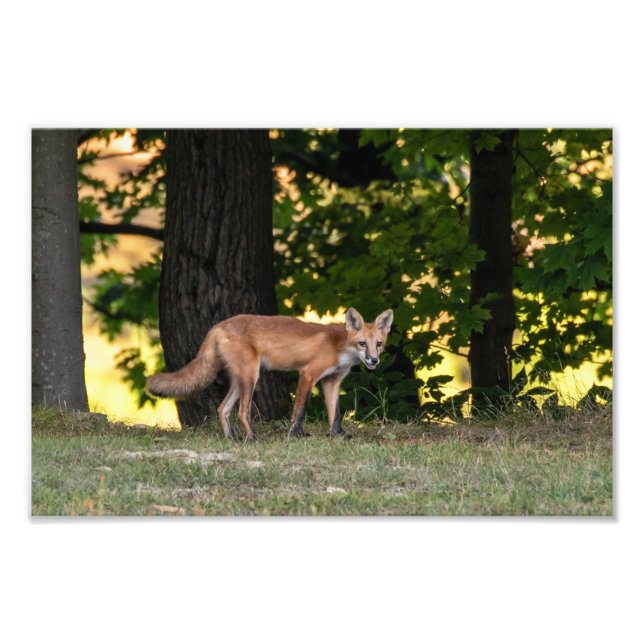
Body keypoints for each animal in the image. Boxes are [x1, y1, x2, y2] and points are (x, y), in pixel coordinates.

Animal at [146, 307, 394, 441]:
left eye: (379, 344)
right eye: (362, 344)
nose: (374, 360)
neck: (340, 346)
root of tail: (218, 325)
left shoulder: (332, 381)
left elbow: (336, 413)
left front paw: (338, 435)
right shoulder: (309, 374)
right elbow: (300, 410)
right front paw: (296, 435)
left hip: (239, 380)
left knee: (223, 408)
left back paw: (231, 439)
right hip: (250, 376)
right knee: (242, 412)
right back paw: (252, 438)